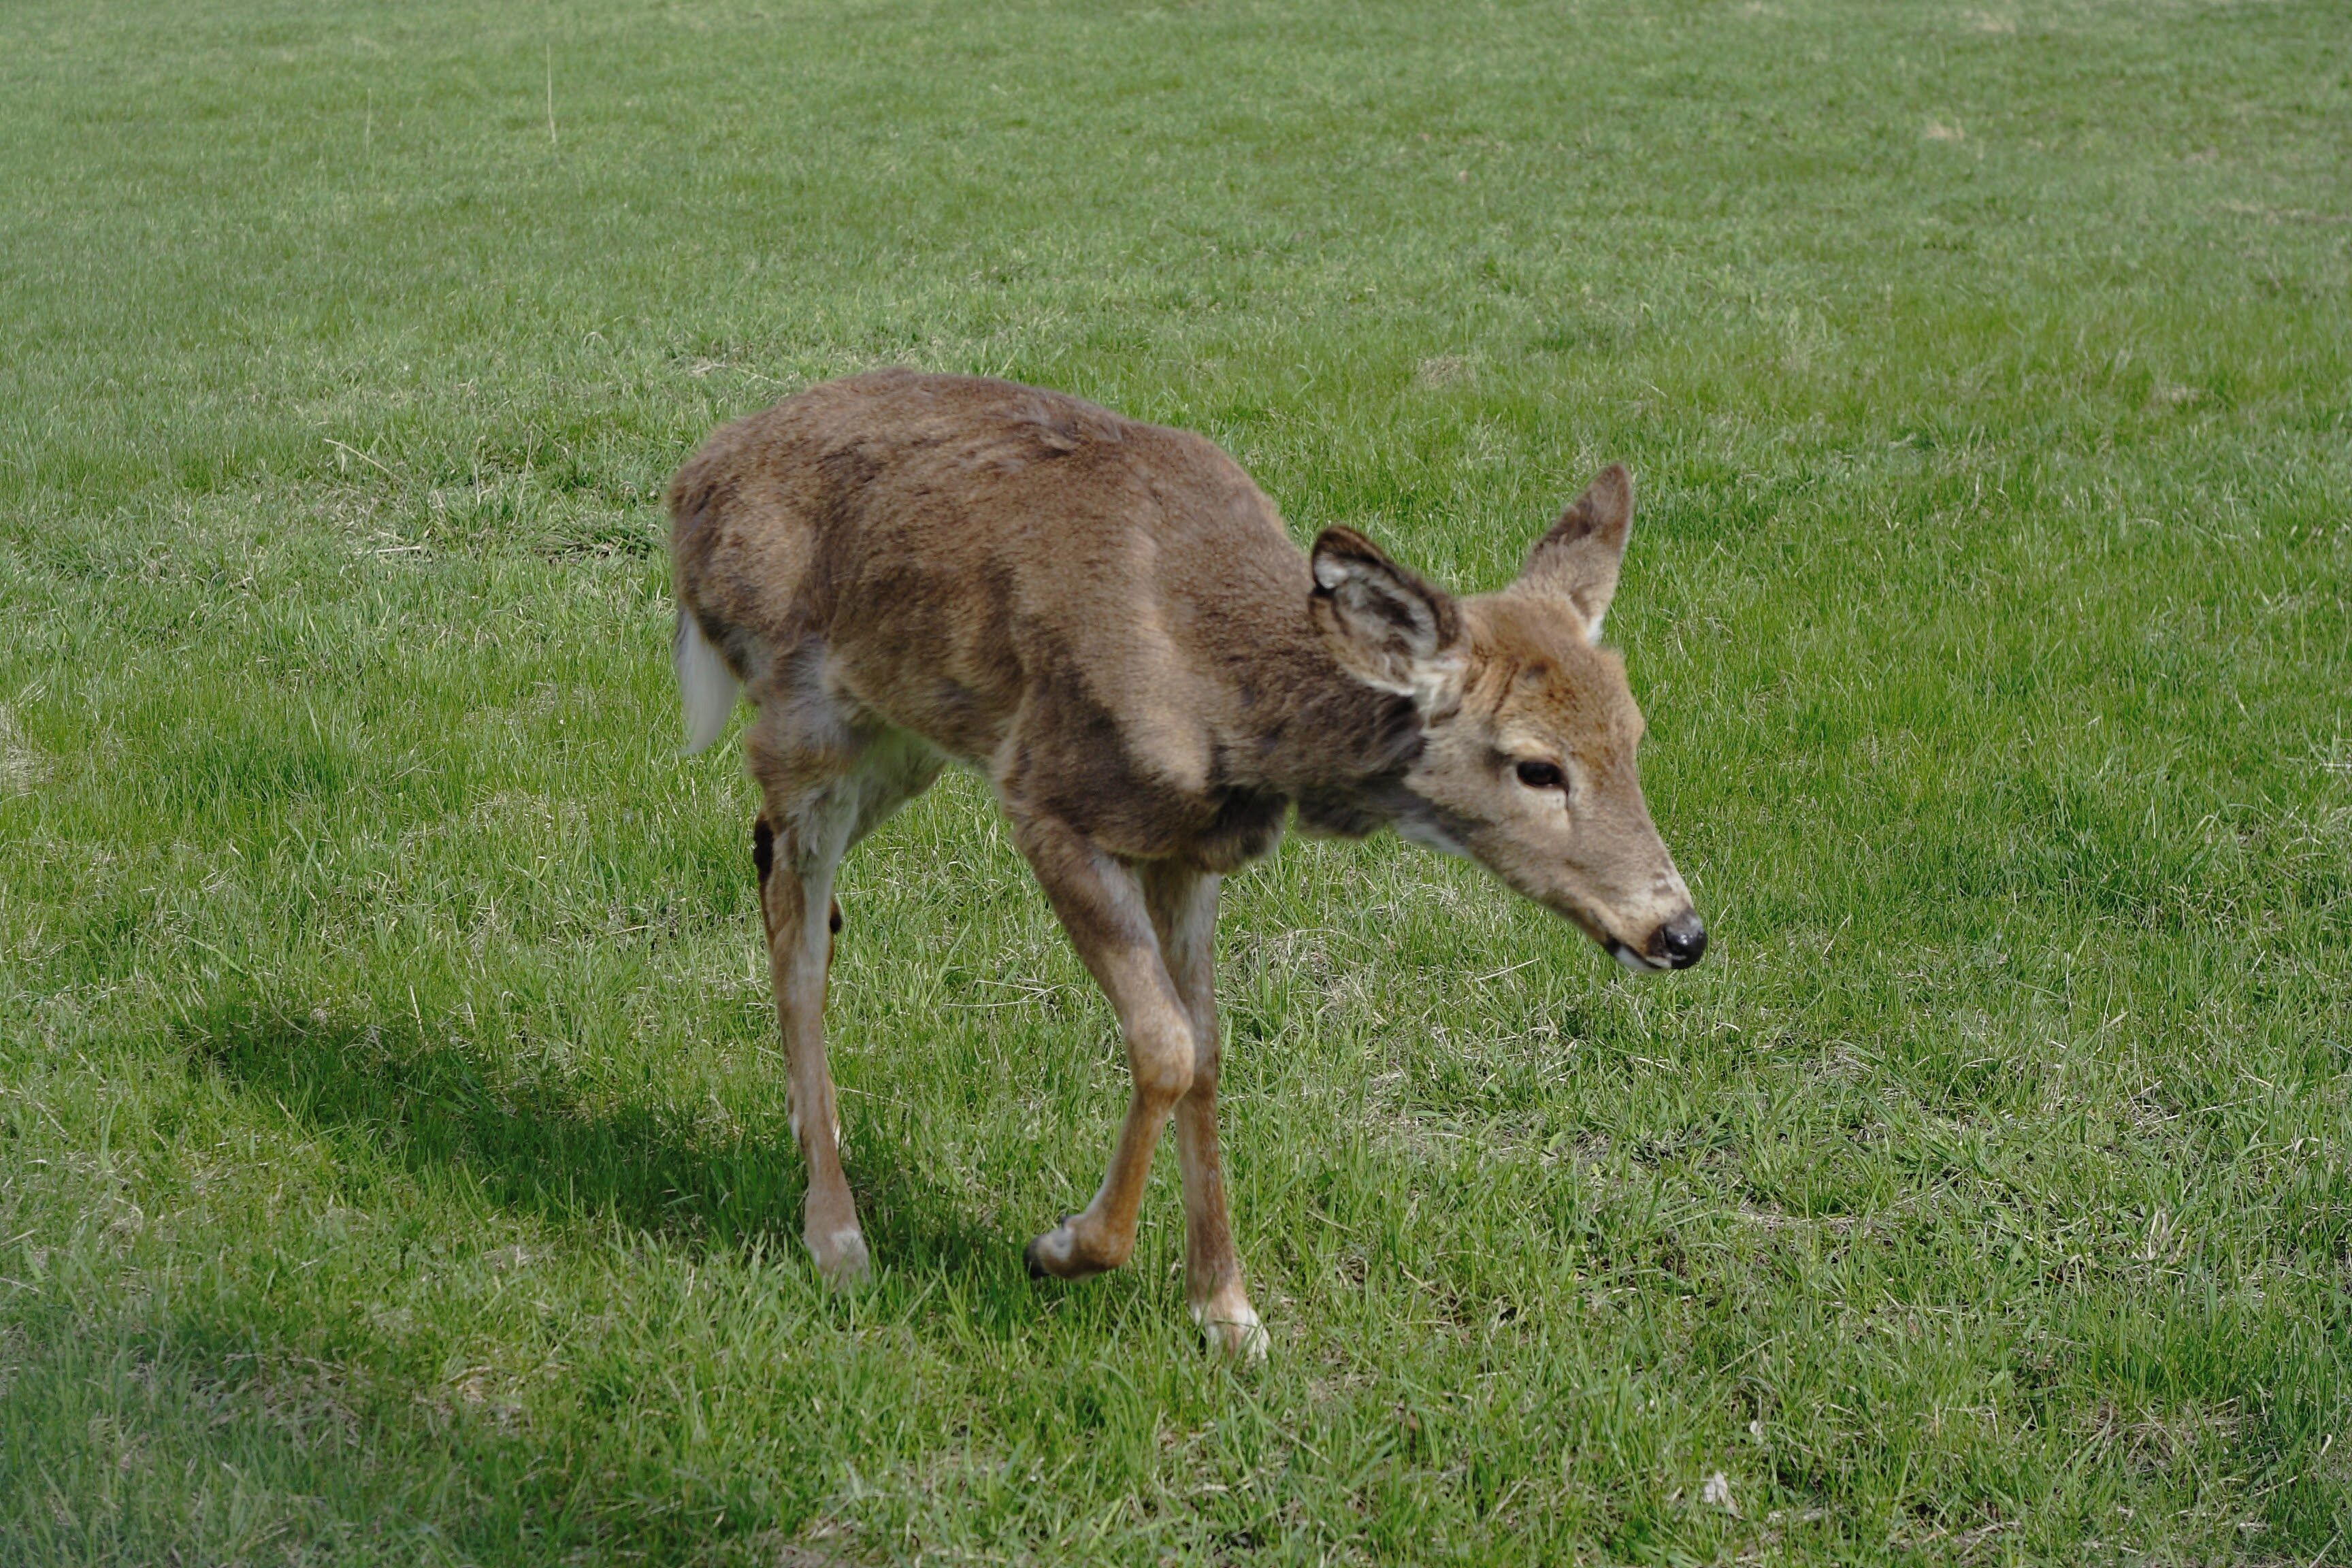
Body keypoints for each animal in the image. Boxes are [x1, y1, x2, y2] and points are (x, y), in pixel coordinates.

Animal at [667, 369, 1705, 1360]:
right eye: (1537, 766)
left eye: (1636, 735)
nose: (1680, 931)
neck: (1225, 698)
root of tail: (692, 484)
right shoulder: (1047, 799)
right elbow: (1164, 1045)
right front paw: (1064, 1248)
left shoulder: (1189, 855)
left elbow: (1205, 1052)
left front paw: (1227, 1313)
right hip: (810, 718)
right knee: (798, 934)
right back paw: (836, 1236)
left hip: (906, 734)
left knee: (777, 870)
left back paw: (812, 1126)